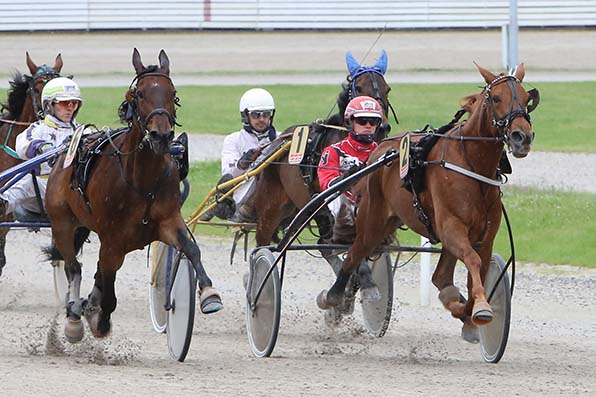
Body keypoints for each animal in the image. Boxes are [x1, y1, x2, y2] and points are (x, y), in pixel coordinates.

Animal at [44, 48, 221, 340]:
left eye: (173, 93)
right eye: (138, 94)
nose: (161, 135)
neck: (143, 181)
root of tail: (61, 157)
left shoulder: (167, 222)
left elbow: (192, 249)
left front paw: (209, 293)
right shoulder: (111, 238)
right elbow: (108, 288)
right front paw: (99, 318)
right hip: (62, 223)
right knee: (73, 266)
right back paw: (75, 318)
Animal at [318, 62, 536, 338]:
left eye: (527, 99)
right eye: (496, 98)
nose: (522, 137)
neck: (471, 162)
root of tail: (379, 151)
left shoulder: (484, 236)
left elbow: (476, 271)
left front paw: (468, 312)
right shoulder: (451, 226)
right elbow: (472, 262)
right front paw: (481, 308)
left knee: (439, 276)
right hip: (372, 221)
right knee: (354, 255)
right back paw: (333, 297)